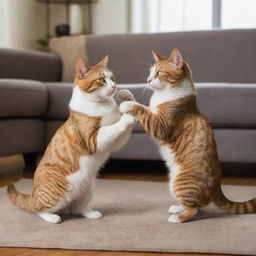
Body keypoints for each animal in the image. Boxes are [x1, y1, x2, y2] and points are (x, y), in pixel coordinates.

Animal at [7, 55, 136, 224]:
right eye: (101, 79)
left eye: (112, 78)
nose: (114, 86)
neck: (104, 105)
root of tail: (33, 193)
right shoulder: (94, 139)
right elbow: (115, 126)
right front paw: (127, 115)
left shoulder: (115, 143)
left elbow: (122, 126)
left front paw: (129, 99)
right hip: (57, 192)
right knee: (38, 208)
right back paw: (52, 217)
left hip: (88, 188)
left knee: (77, 208)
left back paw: (90, 213)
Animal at [120, 47, 256, 222]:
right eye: (150, 72)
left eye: (159, 73)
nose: (148, 79)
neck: (163, 95)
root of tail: (217, 186)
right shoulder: (153, 114)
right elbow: (141, 104)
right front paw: (125, 95)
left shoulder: (160, 125)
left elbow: (141, 109)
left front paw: (126, 105)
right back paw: (177, 208)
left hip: (180, 182)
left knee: (194, 209)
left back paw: (178, 217)